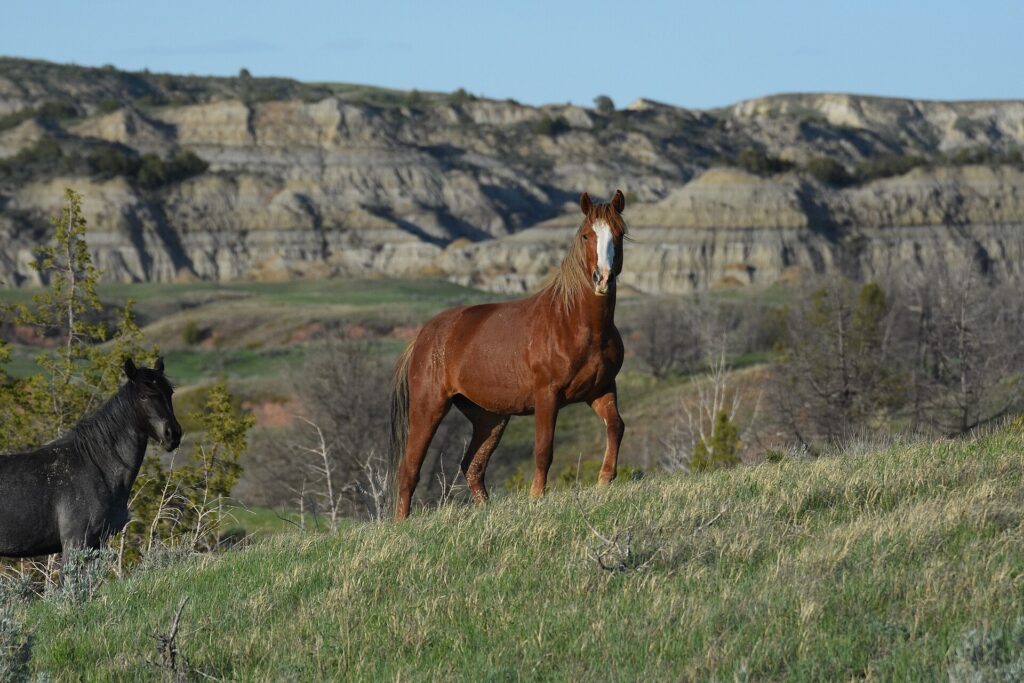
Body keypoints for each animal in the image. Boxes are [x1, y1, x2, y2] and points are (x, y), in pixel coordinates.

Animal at [0, 358, 182, 557]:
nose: (172, 434)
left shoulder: (96, 543)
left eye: (170, 392)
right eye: (143, 396)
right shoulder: (76, 542)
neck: (97, 467)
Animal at [390, 190, 628, 519]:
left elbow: (616, 427)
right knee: (410, 470)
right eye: (585, 235)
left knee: (472, 466)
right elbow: (543, 450)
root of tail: (423, 336)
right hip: (429, 408)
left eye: (620, 233)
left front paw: (604, 481)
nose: (602, 279)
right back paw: (401, 523)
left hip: (490, 417)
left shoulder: (601, 389)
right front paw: (536, 498)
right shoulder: (547, 395)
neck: (573, 322)